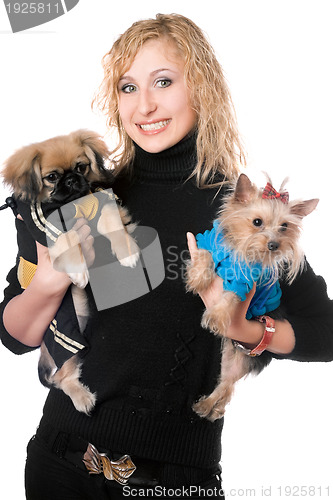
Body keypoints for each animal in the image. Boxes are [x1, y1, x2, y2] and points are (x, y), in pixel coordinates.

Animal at [1, 129, 139, 414]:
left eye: (81, 167)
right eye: (52, 177)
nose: (73, 179)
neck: (73, 204)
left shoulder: (102, 202)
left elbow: (111, 222)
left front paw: (127, 251)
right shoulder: (46, 226)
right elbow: (69, 237)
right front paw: (77, 269)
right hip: (66, 341)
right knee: (60, 379)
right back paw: (83, 399)